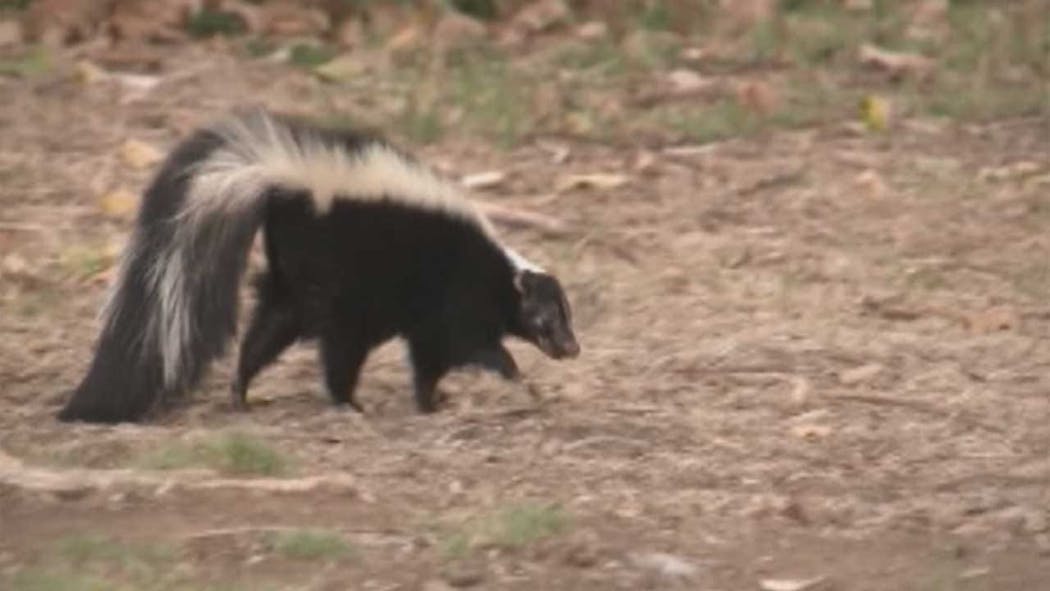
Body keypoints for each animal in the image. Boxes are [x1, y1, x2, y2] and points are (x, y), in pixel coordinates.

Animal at [57, 109, 579, 426]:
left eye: (565, 316)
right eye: (548, 318)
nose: (572, 347)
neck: (500, 272)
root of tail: (283, 174)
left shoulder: (432, 316)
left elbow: (428, 359)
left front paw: (431, 401)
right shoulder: (458, 296)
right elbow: (470, 344)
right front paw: (516, 377)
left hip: (298, 277)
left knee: (270, 326)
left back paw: (241, 391)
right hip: (340, 280)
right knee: (337, 345)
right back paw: (348, 401)